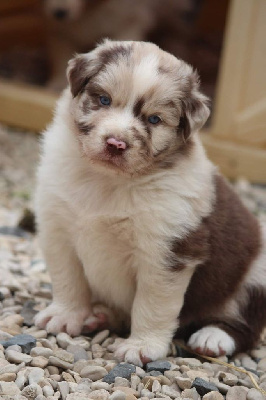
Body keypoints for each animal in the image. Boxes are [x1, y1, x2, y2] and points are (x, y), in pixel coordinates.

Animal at [35, 39, 266, 366]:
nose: (115, 143)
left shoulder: (167, 252)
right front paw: (66, 316)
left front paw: (142, 346)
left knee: (246, 325)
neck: (108, 182)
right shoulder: (57, 228)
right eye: (103, 100)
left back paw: (213, 337)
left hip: (256, 274)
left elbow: (151, 305)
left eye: (154, 119)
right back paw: (100, 316)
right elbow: (68, 280)